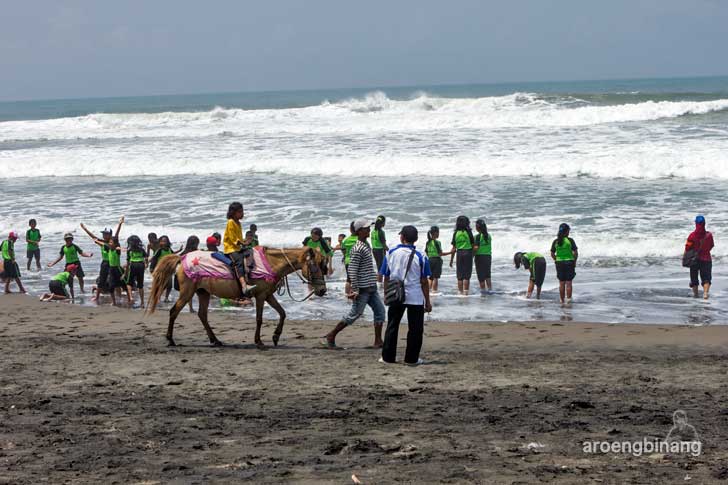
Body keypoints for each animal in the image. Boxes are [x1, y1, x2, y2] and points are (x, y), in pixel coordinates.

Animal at [146, 248, 328, 346]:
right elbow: (259, 319)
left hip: (203, 292)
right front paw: (258, 341)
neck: (271, 263)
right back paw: (170, 340)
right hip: (186, 293)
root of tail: (182, 257)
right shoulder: (261, 296)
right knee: (174, 312)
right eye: (315, 266)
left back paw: (215, 340)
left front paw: (276, 336)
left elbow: (282, 313)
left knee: (202, 315)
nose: (322, 290)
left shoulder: (268, 295)